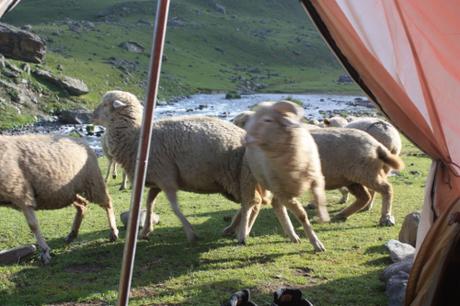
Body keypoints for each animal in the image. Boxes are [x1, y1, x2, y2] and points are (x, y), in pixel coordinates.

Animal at [0, 135, 120, 264]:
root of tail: (82, 142)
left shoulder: (22, 194)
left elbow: (33, 225)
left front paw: (45, 251)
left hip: (92, 181)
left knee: (107, 203)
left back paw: (113, 232)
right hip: (68, 192)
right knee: (82, 205)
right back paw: (72, 234)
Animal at [92, 90, 262, 244]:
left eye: (105, 104)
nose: (91, 116)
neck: (135, 137)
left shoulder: (166, 177)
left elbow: (174, 207)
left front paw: (191, 233)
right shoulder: (156, 179)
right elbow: (149, 202)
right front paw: (146, 230)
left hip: (241, 176)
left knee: (252, 202)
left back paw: (242, 234)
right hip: (240, 179)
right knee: (254, 203)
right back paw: (234, 230)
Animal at [241, 100, 330, 251]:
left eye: (268, 120)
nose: (245, 138)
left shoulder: (317, 178)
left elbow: (319, 197)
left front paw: (323, 217)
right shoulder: (285, 194)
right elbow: (302, 215)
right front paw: (316, 243)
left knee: (276, 204)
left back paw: (292, 235)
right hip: (257, 181)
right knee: (251, 204)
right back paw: (242, 235)